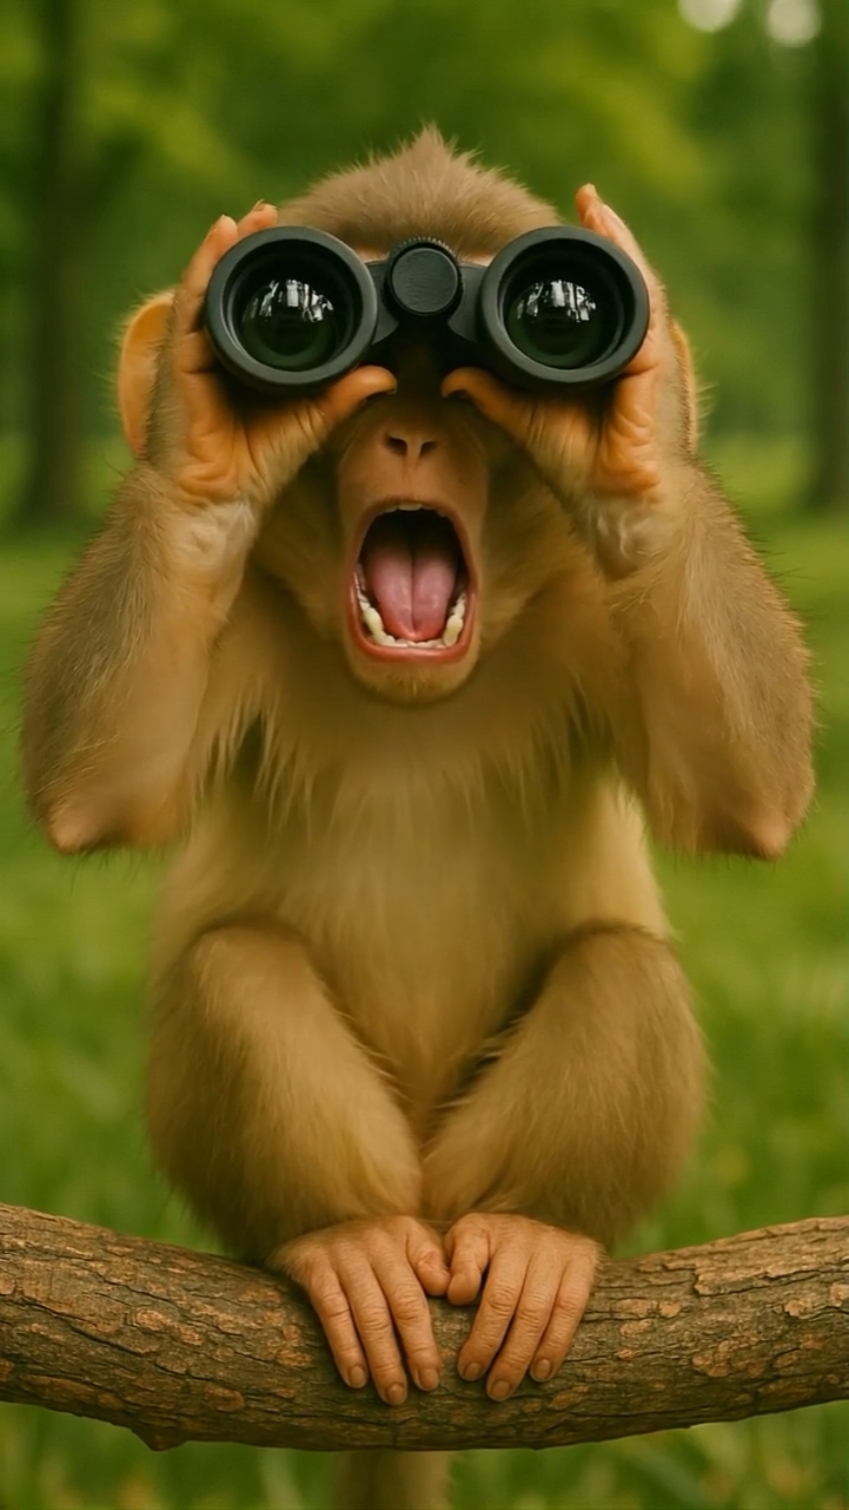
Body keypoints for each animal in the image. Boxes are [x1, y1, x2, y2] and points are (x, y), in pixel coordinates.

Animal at [22, 130, 813, 1510]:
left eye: (468, 404)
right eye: (312, 325)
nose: (405, 434)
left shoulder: (590, 620)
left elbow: (745, 787)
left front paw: (639, 448)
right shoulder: (242, 627)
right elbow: (102, 785)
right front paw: (201, 450)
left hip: (470, 1160)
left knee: (624, 970)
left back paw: (533, 1231)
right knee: (233, 967)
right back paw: (342, 1238)